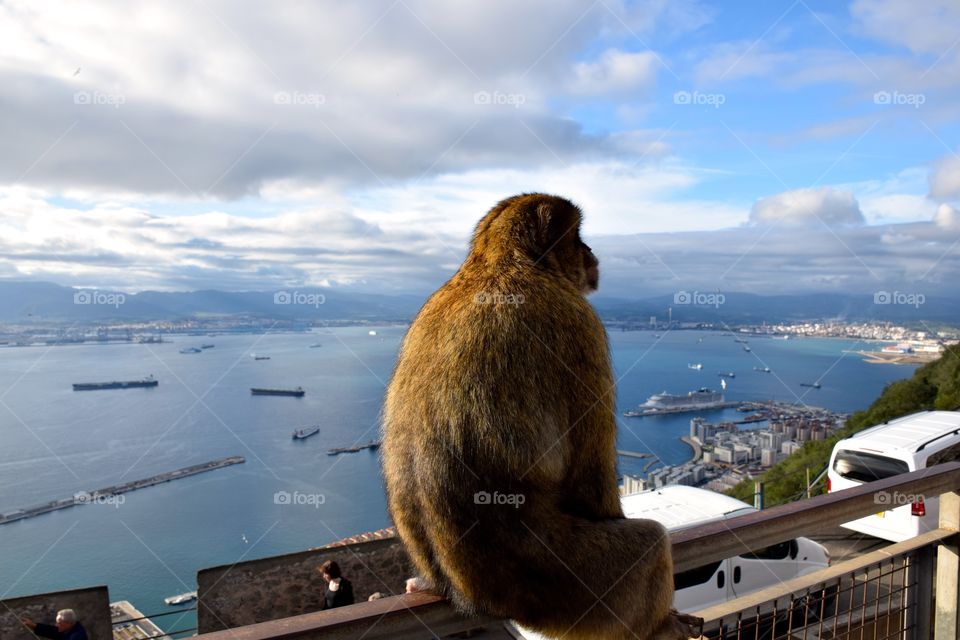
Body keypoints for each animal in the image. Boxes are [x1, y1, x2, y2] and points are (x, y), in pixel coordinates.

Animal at [382, 194, 700, 639]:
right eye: (578, 237)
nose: (591, 253)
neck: (496, 264)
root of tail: (478, 598)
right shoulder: (582, 326)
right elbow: (590, 478)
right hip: (574, 592)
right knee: (652, 543)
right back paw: (661, 623)